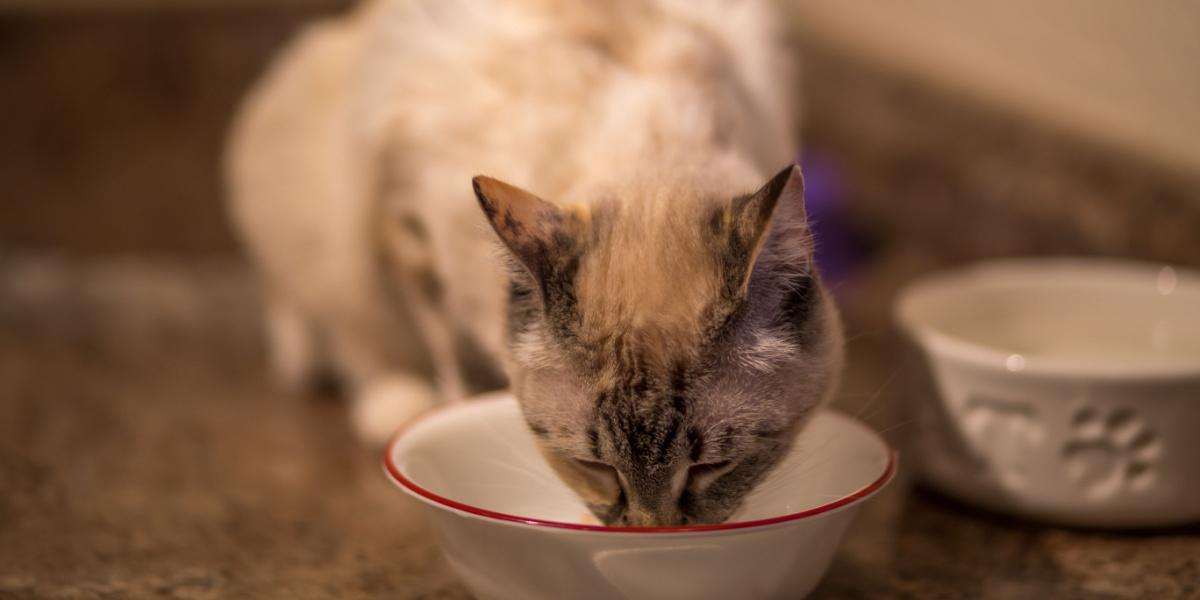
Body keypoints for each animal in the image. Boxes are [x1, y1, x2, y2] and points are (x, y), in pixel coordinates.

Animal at [225, 0, 844, 525]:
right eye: (596, 468)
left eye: (712, 468)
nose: (653, 531)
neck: (648, 141)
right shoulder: (404, 226)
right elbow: (445, 364)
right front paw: (449, 410)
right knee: (335, 328)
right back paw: (386, 400)